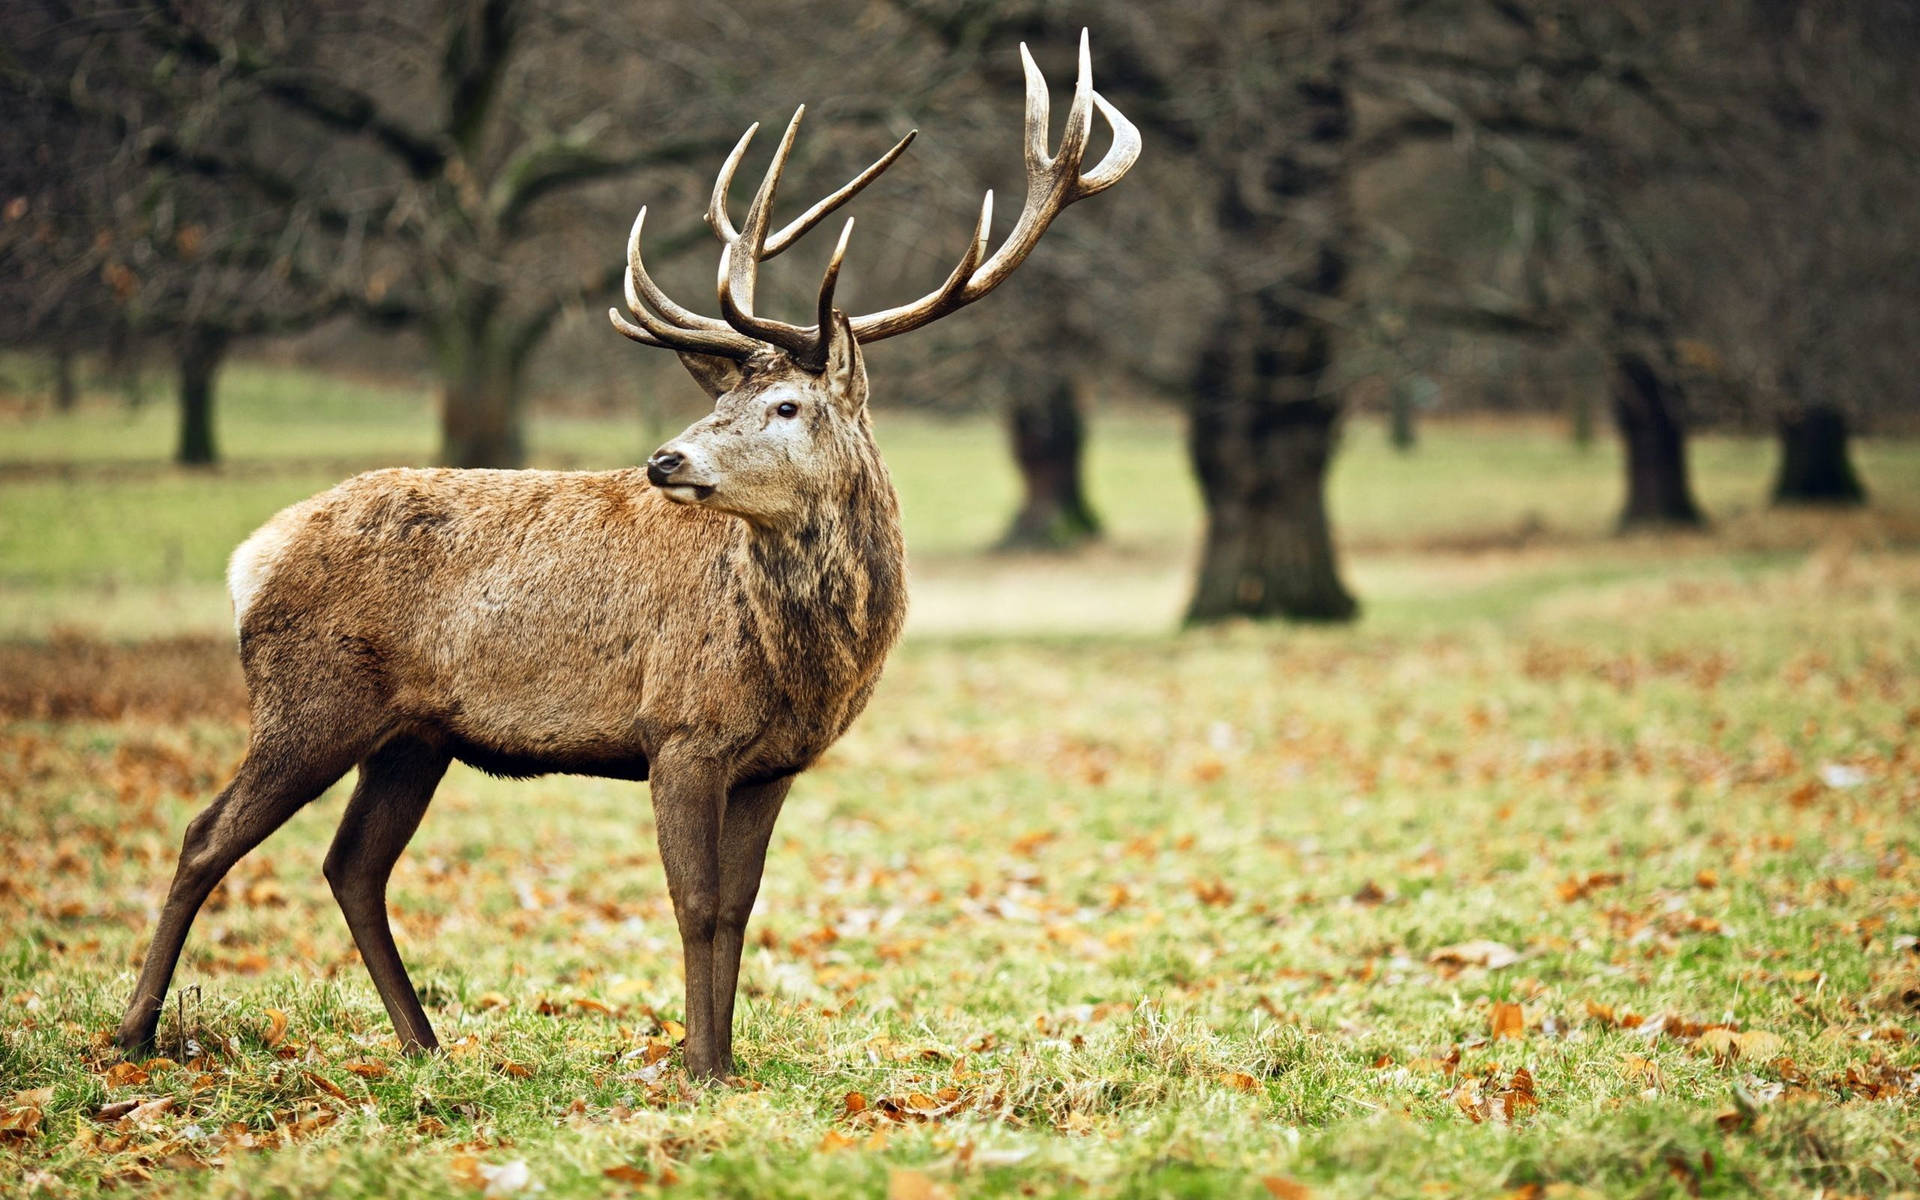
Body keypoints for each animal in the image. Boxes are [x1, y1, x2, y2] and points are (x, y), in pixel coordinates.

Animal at [115, 32, 1138, 1081]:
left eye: (785, 405)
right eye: (722, 399)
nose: (665, 458)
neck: (803, 665)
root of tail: (250, 556)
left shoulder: (773, 763)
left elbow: (740, 907)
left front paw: (724, 1063)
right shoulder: (679, 731)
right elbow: (694, 904)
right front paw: (694, 1066)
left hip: (415, 736)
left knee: (351, 864)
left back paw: (426, 1045)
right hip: (311, 698)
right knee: (206, 835)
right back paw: (135, 1032)